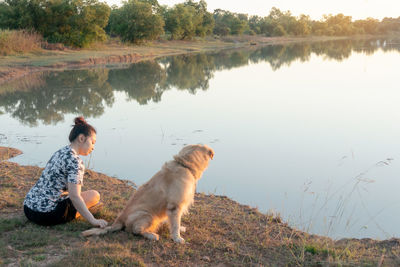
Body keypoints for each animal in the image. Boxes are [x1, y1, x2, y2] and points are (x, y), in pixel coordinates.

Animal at [80, 146, 212, 244]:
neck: (184, 165)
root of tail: (118, 220)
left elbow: (174, 222)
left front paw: (180, 229)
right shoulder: (174, 206)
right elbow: (175, 225)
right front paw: (177, 238)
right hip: (148, 215)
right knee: (135, 230)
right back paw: (151, 235)